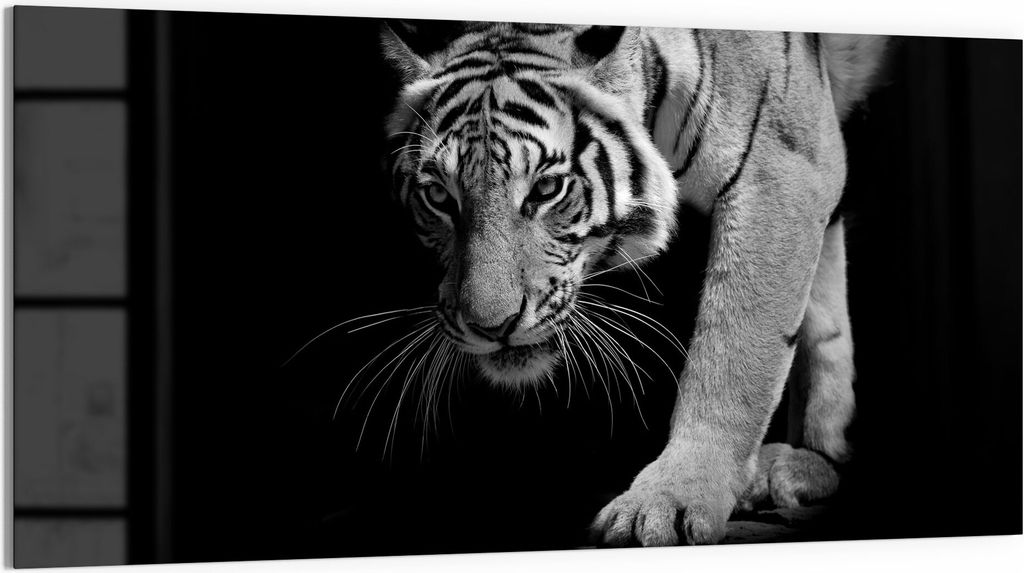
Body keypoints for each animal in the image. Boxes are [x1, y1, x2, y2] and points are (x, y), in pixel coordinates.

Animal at [379, 20, 887, 546]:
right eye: (439, 196)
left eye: (547, 188)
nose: (492, 327)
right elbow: (818, 320)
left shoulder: (780, 168)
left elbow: (733, 358)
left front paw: (670, 500)